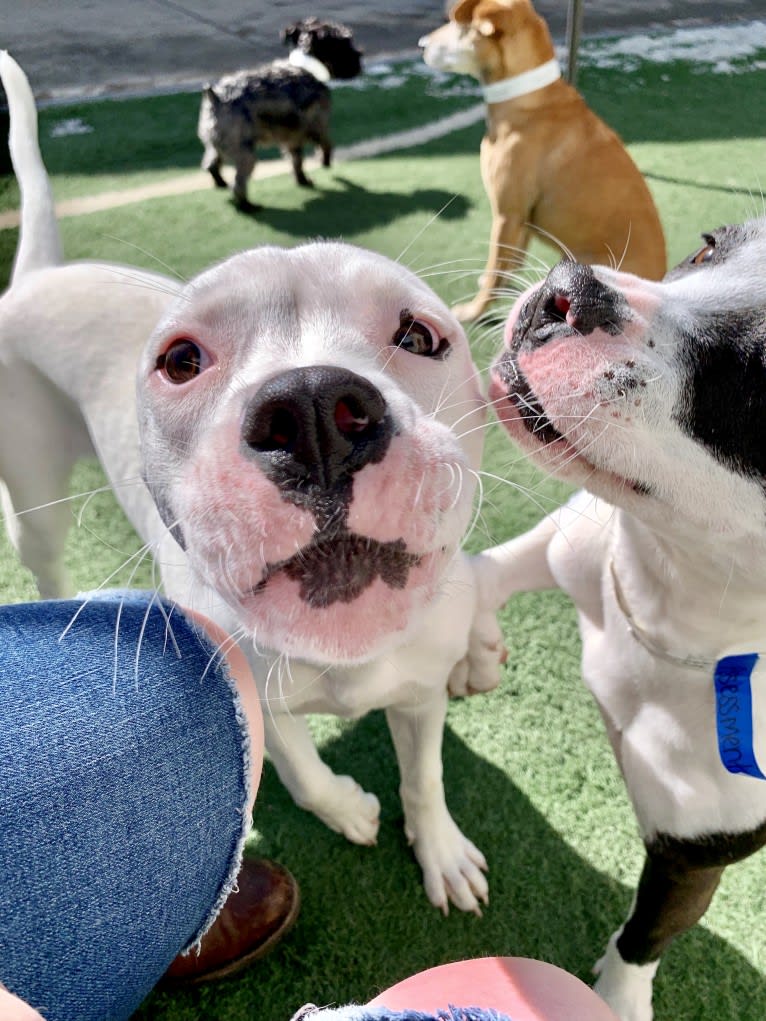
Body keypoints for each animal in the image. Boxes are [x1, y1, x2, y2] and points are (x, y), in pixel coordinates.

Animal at [0, 51, 504, 918]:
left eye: (419, 336)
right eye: (180, 359)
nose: (312, 410)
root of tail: (38, 276)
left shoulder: (417, 694)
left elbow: (426, 774)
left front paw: (439, 849)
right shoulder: (250, 695)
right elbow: (298, 767)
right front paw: (345, 808)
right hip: (34, 492)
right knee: (44, 558)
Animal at [198, 17, 365, 209]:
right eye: (345, 42)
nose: (360, 56)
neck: (306, 67)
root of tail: (216, 97)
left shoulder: (293, 137)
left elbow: (297, 160)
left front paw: (302, 180)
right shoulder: (318, 124)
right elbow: (326, 144)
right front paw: (325, 162)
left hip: (218, 143)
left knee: (211, 164)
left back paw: (221, 183)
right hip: (243, 150)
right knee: (239, 182)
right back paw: (248, 206)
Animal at [422, 0, 669, 318]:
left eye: (457, 25)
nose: (421, 44)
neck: (528, 100)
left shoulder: (507, 214)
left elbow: (496, 265)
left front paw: (474, 310)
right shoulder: (522, 219)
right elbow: (509, 262)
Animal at [477, 227, 766, 1016]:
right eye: (708, 248)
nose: (567, 292)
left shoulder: (691, 853)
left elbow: (649, 932)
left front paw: (617, 991)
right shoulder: (568, 540)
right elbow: (485, 571)